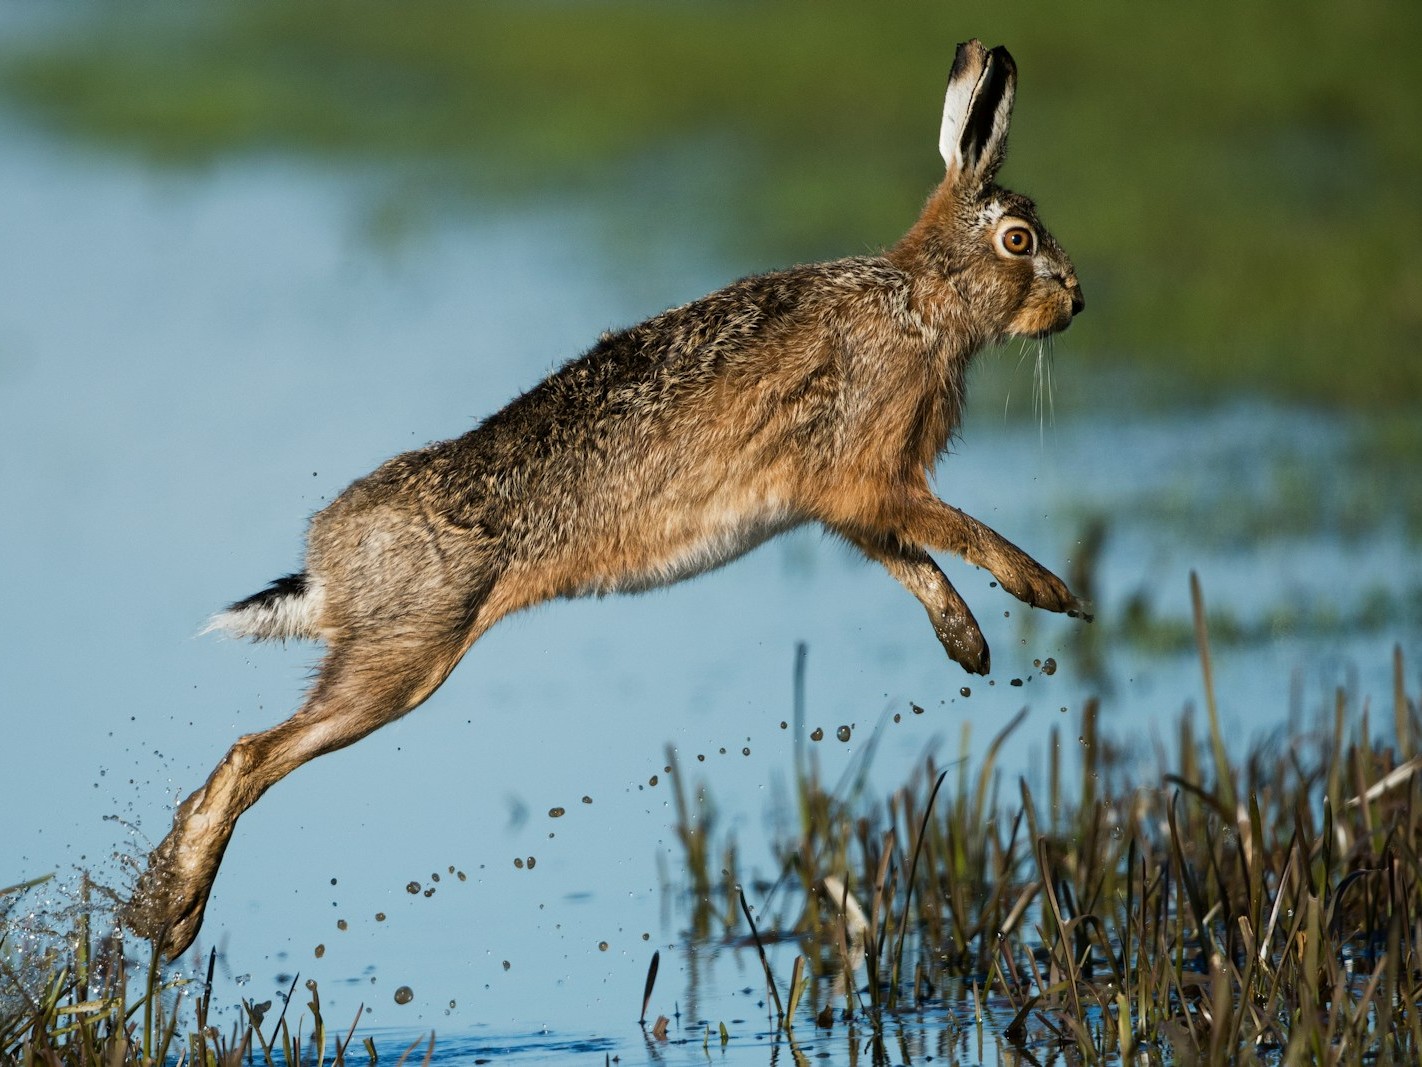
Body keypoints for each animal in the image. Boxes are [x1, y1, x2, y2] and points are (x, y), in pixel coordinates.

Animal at [123, 39, 1087, 960]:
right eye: (1018, 241)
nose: (1078, 301)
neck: (924, 302)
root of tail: (327, 558)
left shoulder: (847, 502)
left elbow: (913, 560)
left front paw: (969, 647)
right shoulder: (868, 473)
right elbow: (955, 528)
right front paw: (1050, 591)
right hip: (406, 655)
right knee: (251, 754)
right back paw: (167, 917)